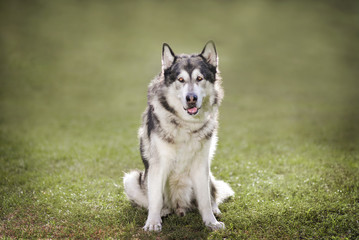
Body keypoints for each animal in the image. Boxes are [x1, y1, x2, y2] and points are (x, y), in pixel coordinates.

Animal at [125, 41, 235, 232]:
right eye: (181, 80)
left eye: (199, 78)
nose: (191, 98)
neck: (187, 125)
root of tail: (180, 207)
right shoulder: (158, 165)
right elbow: (155, 199)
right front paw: (152, 223)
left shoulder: (201, 165)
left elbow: (205, 199)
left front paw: (211, 222)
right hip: (132, 179)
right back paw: (163, 212)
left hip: (209, 174)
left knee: (212, 194)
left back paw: (215, 210)